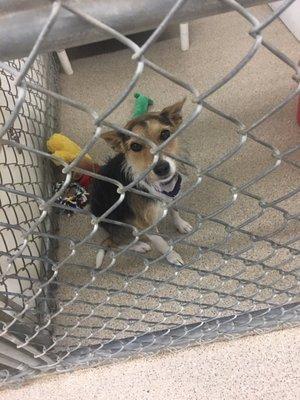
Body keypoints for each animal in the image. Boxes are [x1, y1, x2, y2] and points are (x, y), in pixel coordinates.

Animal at [89, 99, 192, 268]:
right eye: (135, 146)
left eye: (165, 134)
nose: (162, 168)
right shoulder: (145, 225)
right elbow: (161, 242)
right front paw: (172, 256)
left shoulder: (172, 197)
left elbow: (174, 211)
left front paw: (180, 224)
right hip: (119, 224)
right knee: (113, 244)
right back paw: (139, 246)